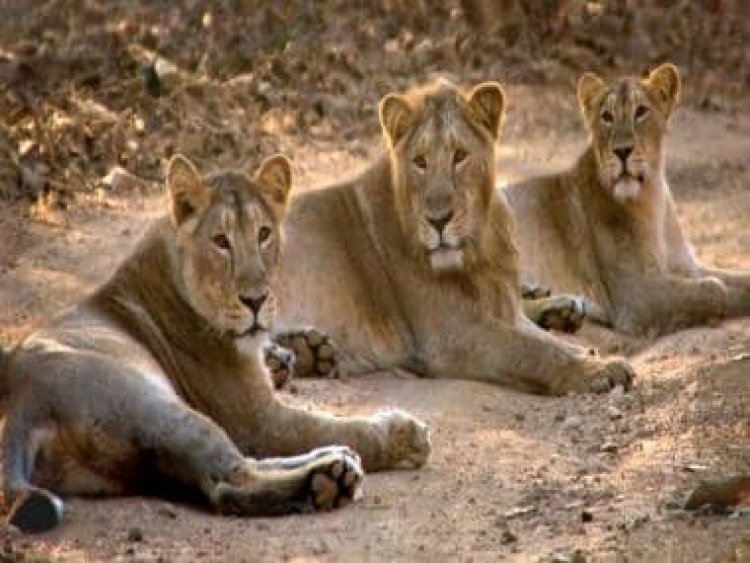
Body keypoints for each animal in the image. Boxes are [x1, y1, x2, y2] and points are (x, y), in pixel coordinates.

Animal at [0, 154, 430, 533]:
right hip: (157, 407)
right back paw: (329, 478)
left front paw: (302, 350)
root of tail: (19, 403)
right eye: (221, 241)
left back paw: (331, 462)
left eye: (264, 234)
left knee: (227, 471)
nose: (256, 299)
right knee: (230, 481)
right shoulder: (258, 420)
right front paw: (402, 433)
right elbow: (330, 425)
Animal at [273, 79, 634, 395]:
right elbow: (536, 353)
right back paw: (294, 355)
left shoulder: (503, 310)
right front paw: (598, 370)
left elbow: (547, 341)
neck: (480, 247)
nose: (438, 220)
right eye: (419, 162)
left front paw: (587, 353)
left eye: (460, 156)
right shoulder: (451, 336)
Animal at [504, 63, 750, 337]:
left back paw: (549, 303)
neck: (652, 198)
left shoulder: (686, 267)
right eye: (606, 116)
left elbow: (739, 282)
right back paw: (559, 310)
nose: (622, 151)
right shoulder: (635, 294)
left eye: (641, 111)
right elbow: (715, 289)